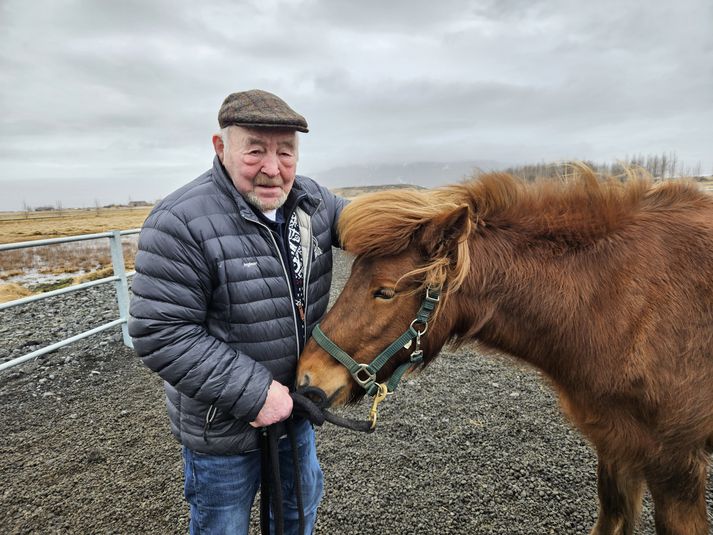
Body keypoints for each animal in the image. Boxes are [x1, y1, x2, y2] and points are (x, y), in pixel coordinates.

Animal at [298, 170, 712, 535]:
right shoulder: (616, 444)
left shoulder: (676, 467)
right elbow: (612, 515)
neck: (616, 302)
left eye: (384, 292)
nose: (306, 375)